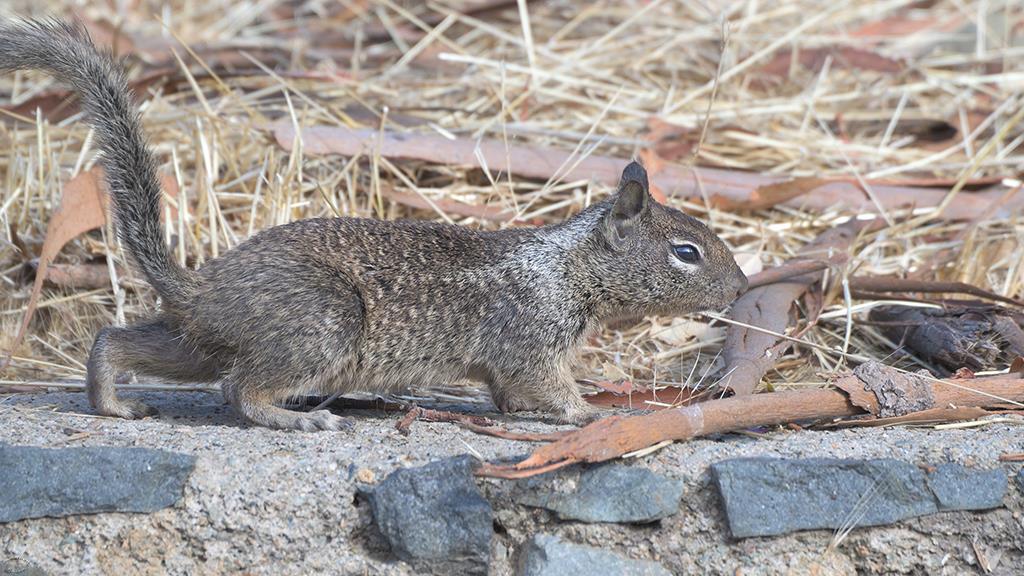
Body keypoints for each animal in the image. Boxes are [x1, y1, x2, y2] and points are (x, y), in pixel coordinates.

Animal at [2, 17, 753, 430]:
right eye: (687, 252)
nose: (743, 288)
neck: (567, 266)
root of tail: (200, 288)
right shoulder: (531, 341)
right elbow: (548, 387)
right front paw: (596, 413)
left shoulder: (509, 362)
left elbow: (510, 396)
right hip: (320, 328)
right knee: (238, 390)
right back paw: (299, 419)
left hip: (201, 341)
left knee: (119, 340)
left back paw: (113, 405)